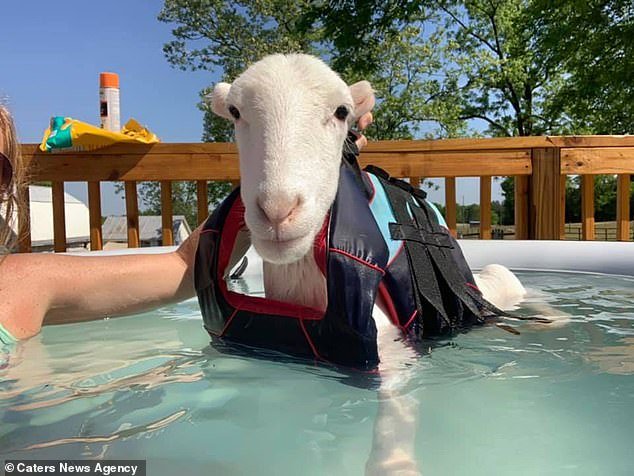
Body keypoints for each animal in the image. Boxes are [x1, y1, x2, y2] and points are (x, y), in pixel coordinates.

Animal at [210, 54, 524, 474]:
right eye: (234, 112)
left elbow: (395, 409)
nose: (278, 211)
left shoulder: (393, 346)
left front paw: (395, 464)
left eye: (342, 111)